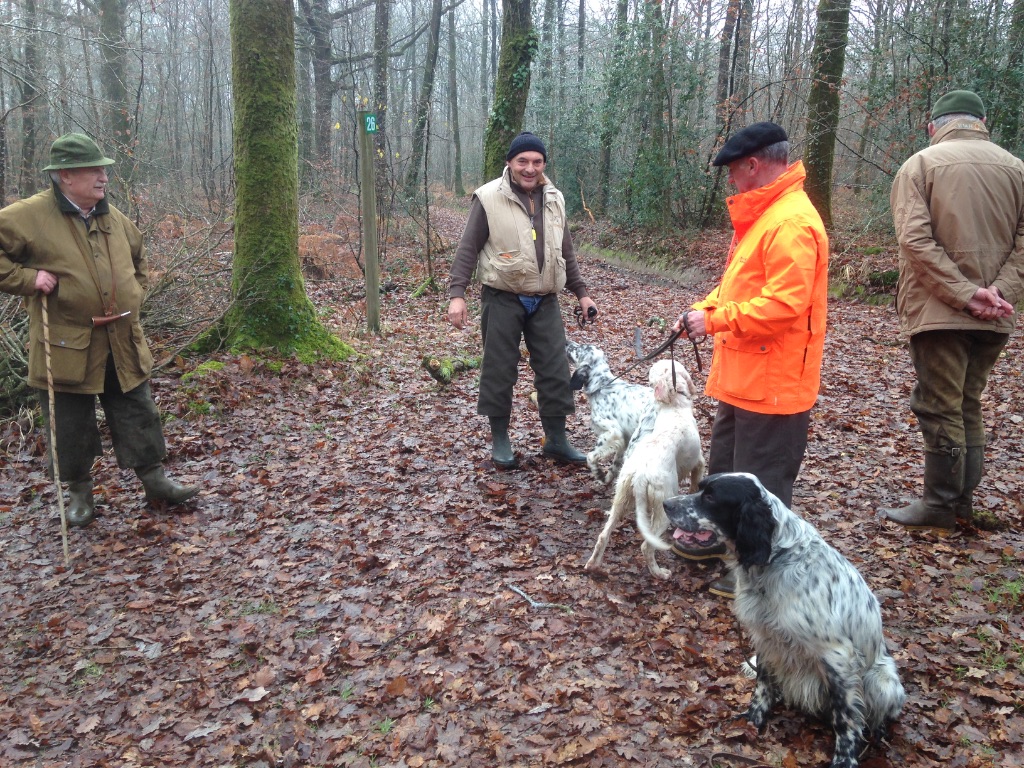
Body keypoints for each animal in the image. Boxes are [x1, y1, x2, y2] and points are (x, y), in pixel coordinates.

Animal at [655, 475, 905, 768]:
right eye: (701, 487)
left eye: (710, 497)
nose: (666, 504)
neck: (777, 558)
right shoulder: (766, 638)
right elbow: (763, 684)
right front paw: (753, 721)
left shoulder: (838, 657)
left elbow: (846, 719)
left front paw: (844, 759)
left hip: (884, 682)